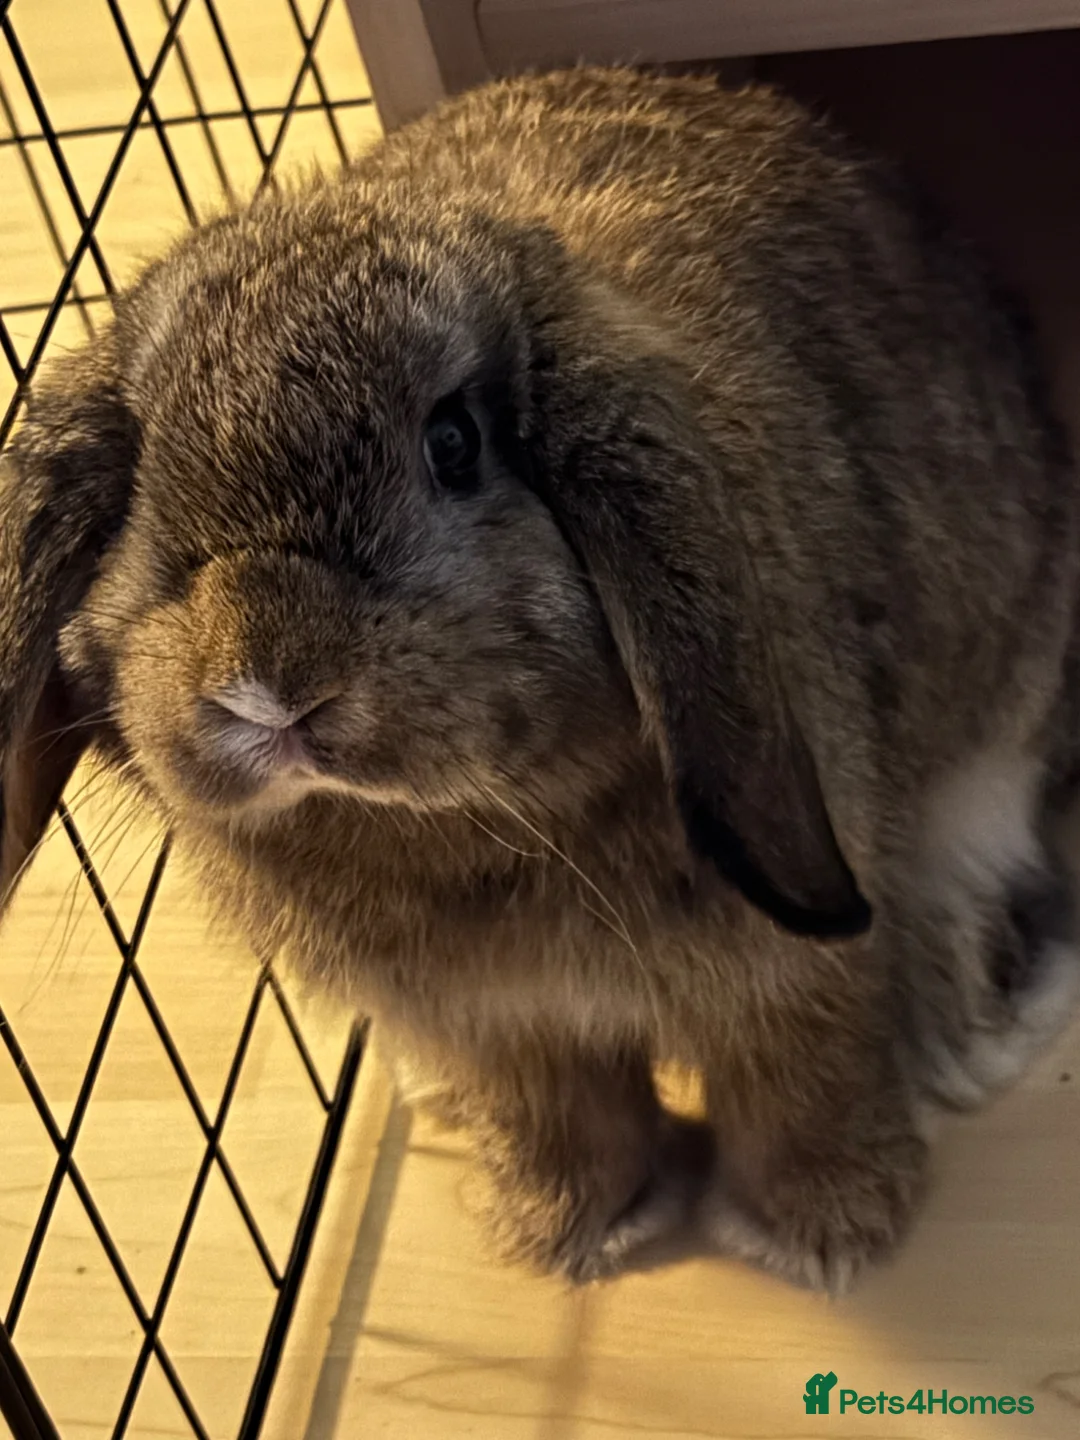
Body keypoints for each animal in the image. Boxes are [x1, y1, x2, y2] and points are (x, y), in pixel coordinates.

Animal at [2, 65, 1079, 1293]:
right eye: (137, 483)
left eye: (454, 443)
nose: (269, 685)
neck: (459, 834)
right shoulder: (496, 1028)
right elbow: (560, 1113)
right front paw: (573, 1232)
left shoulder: (790, 965)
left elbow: (803, 1076)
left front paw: (821, 1238)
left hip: (992, 746)